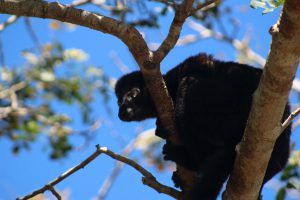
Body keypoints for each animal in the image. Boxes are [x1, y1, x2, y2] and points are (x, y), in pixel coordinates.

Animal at [115, 53, 290, 200]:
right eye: (118, 101)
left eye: (131, 95)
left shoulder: (189, 66)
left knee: (189, 84)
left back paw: (188, 158)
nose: (121, 110)